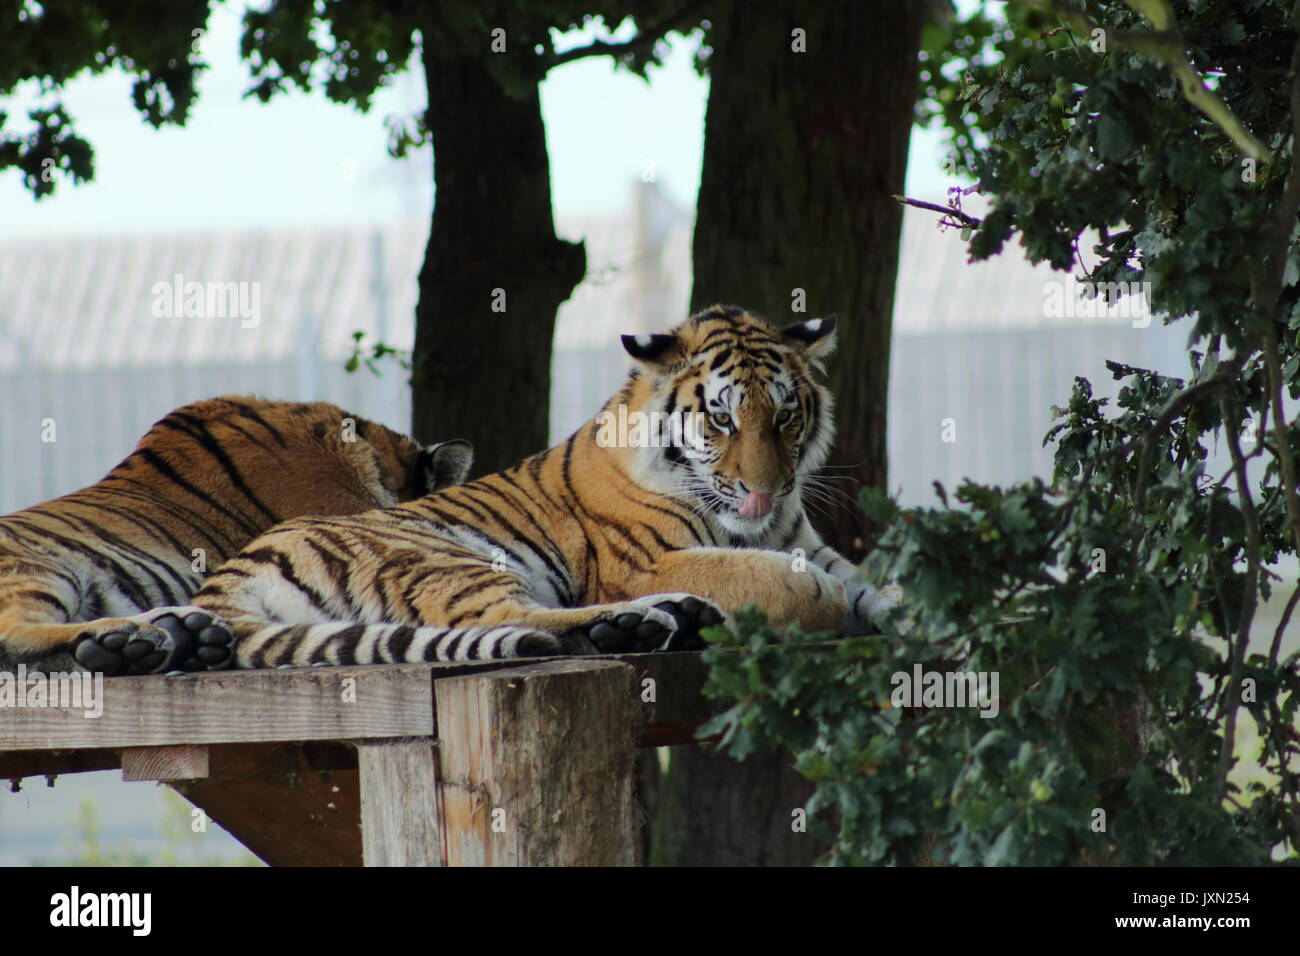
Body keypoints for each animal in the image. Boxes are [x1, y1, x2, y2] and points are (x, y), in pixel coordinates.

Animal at [192, 304, 904, 665]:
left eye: (784, 415)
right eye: (723, 418)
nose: (765, 491)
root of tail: (227, 575)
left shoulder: (807, 543)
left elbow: (869, 583)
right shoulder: (642, 562)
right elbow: (778, 577)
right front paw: (820, 598)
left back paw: (667, 621)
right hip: (444, 558)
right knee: (511, 619)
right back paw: (639, 624)